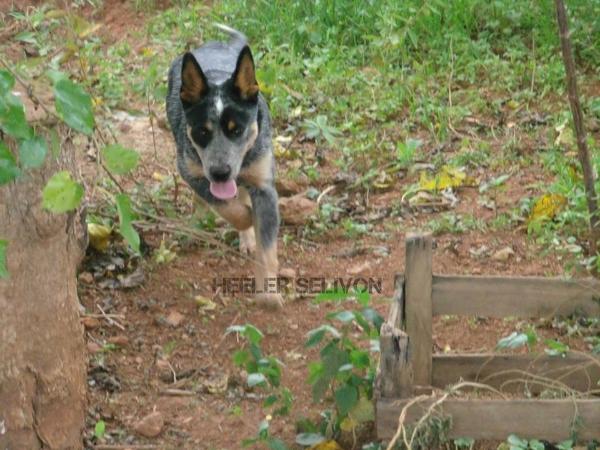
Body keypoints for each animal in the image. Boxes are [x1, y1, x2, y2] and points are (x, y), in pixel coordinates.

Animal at [166, 25, 284, 310]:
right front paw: (246, 219)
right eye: (202, 132)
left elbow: (267, 249)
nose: (220, 172)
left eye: (237, 130)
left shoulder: (264, 186)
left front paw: (269, 294)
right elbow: (226, 205)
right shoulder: (191, 172)